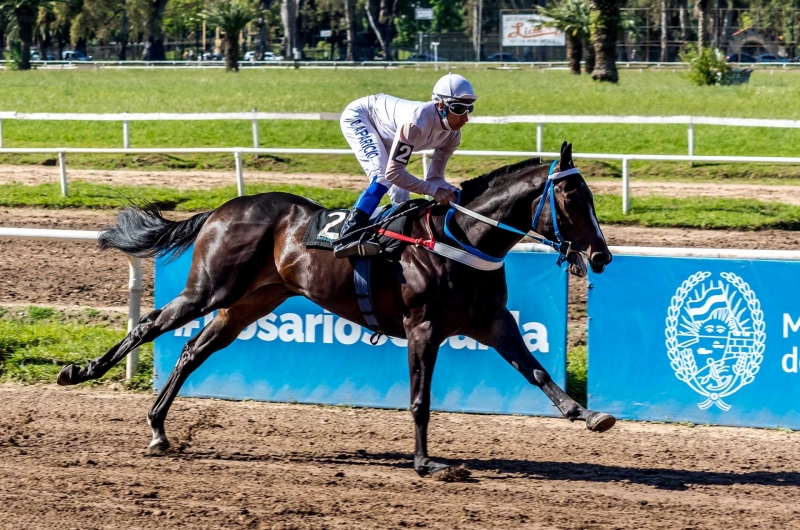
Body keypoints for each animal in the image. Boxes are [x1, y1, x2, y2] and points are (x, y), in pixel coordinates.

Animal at [59, 142, 616, 476]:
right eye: (572, 199)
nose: (601, 256)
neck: (459, 237)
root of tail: (221, 208)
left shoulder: (492, 322)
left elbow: (537, 370)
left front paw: (588, 414)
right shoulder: (423, 327)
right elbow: (420, 400)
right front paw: (426, 464)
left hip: (249, 303)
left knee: (193, 350)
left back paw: (158, 427)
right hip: (211, 290)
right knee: (150, 326)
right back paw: (80, 372)